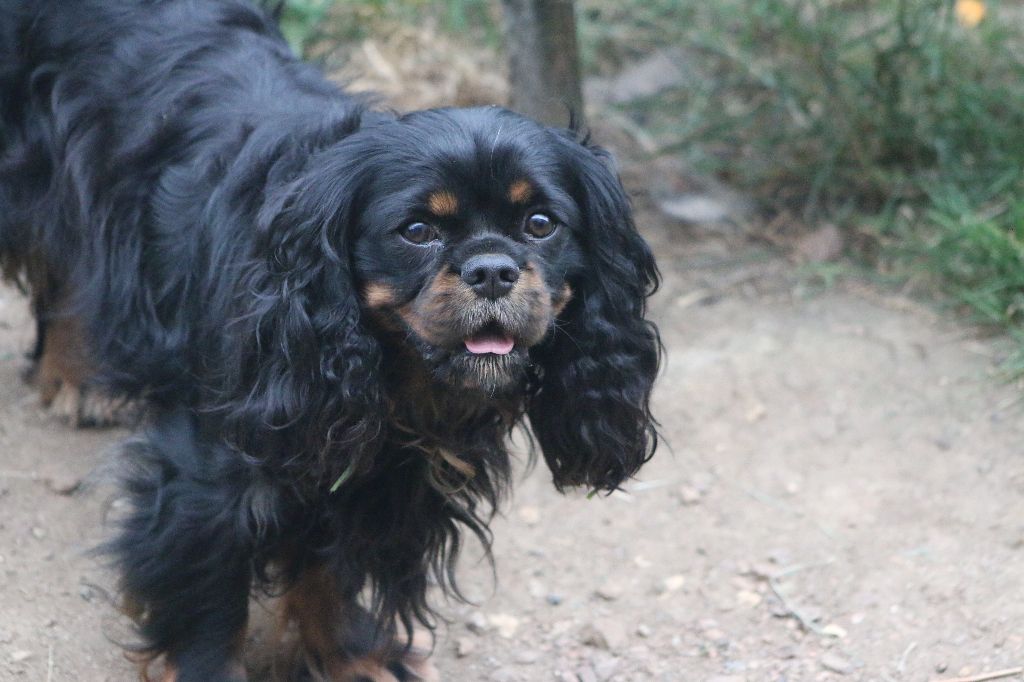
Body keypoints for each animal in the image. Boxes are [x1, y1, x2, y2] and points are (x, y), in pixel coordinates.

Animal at [0, 2, 655, 675]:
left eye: (541, 224)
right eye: (416, 230)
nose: (492, 270)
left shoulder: (358, 465)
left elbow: (329, 565)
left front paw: (351, 658)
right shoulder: (208, 467)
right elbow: (208, 585)